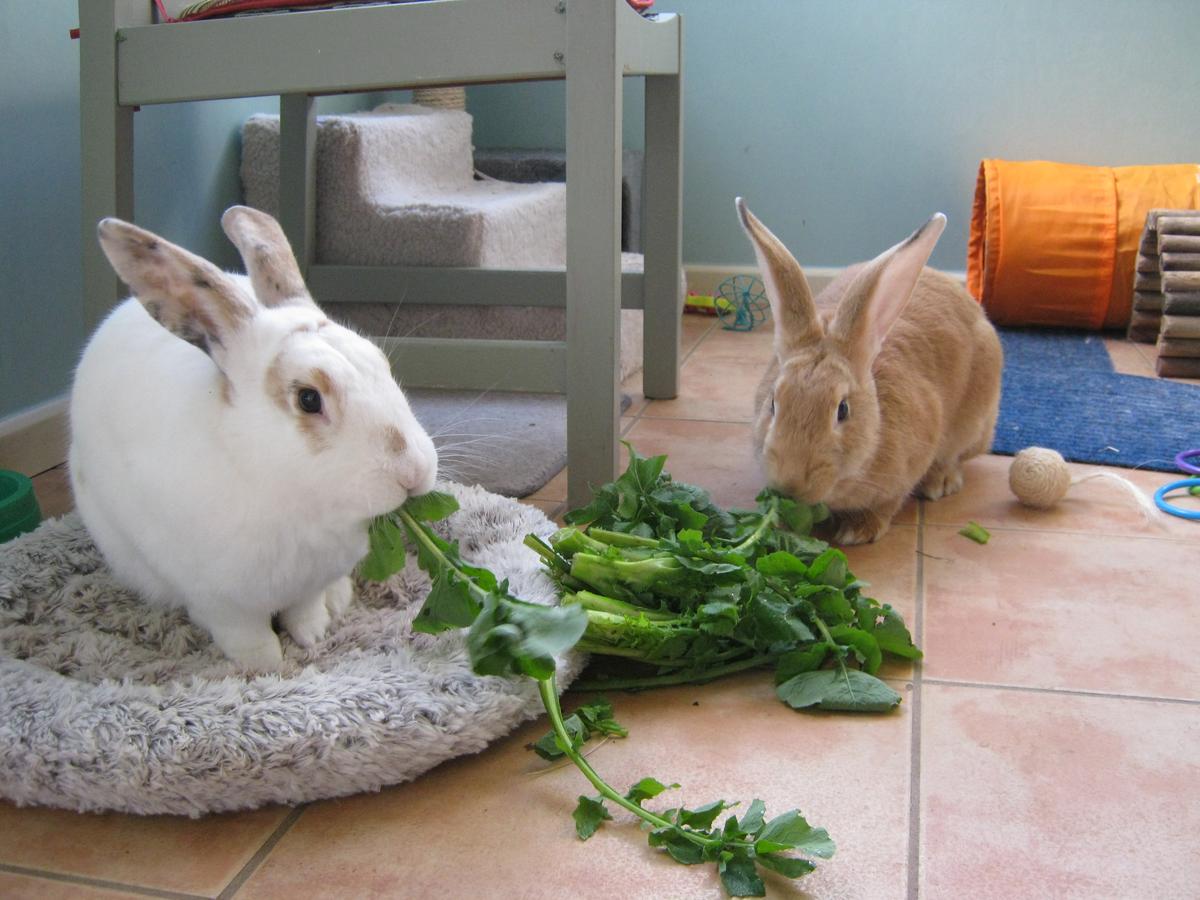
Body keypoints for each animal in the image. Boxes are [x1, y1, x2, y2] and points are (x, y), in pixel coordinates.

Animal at [69, 206, 438, 669]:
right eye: (308, 399)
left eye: (380, 363)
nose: (413, 472)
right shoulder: (219, 600)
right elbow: (245, 634)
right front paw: (265, 666)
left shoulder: (308, 584)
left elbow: (305, 609)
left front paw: (313, 635)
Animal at [735, 198, 1002, 545]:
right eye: (772, 404)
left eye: (842, 410)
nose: (791, 484)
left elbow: (887, 503)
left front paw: (858, 531)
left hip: (975, 421)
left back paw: (940, 481)